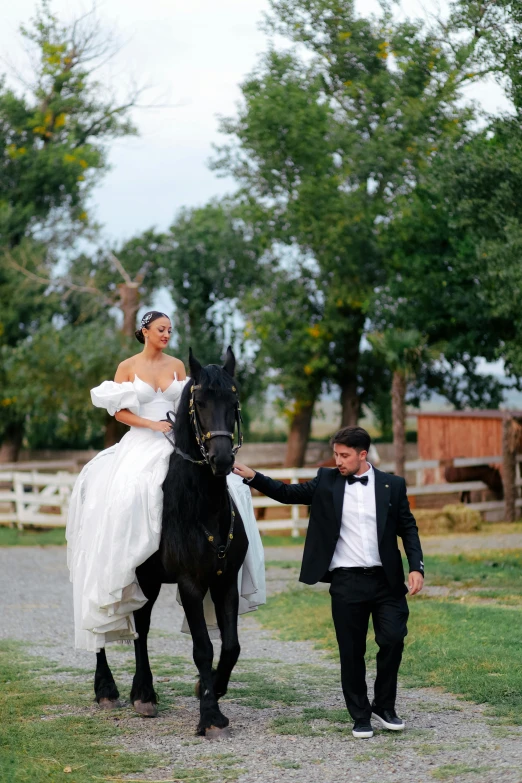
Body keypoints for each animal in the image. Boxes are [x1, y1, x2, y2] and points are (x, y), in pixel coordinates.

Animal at [94, 346, 249, 740]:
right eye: (200, 401)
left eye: (233, 399)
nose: (222, 459)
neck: (199, 505)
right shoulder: (191, 585)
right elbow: (203, 648)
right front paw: (211, 717)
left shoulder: (225, 581)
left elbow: (231, 646)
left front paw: (212, 688)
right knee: (97, 627)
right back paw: (106, 690)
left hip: (145, 580)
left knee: (142, 628)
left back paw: (143, 695)